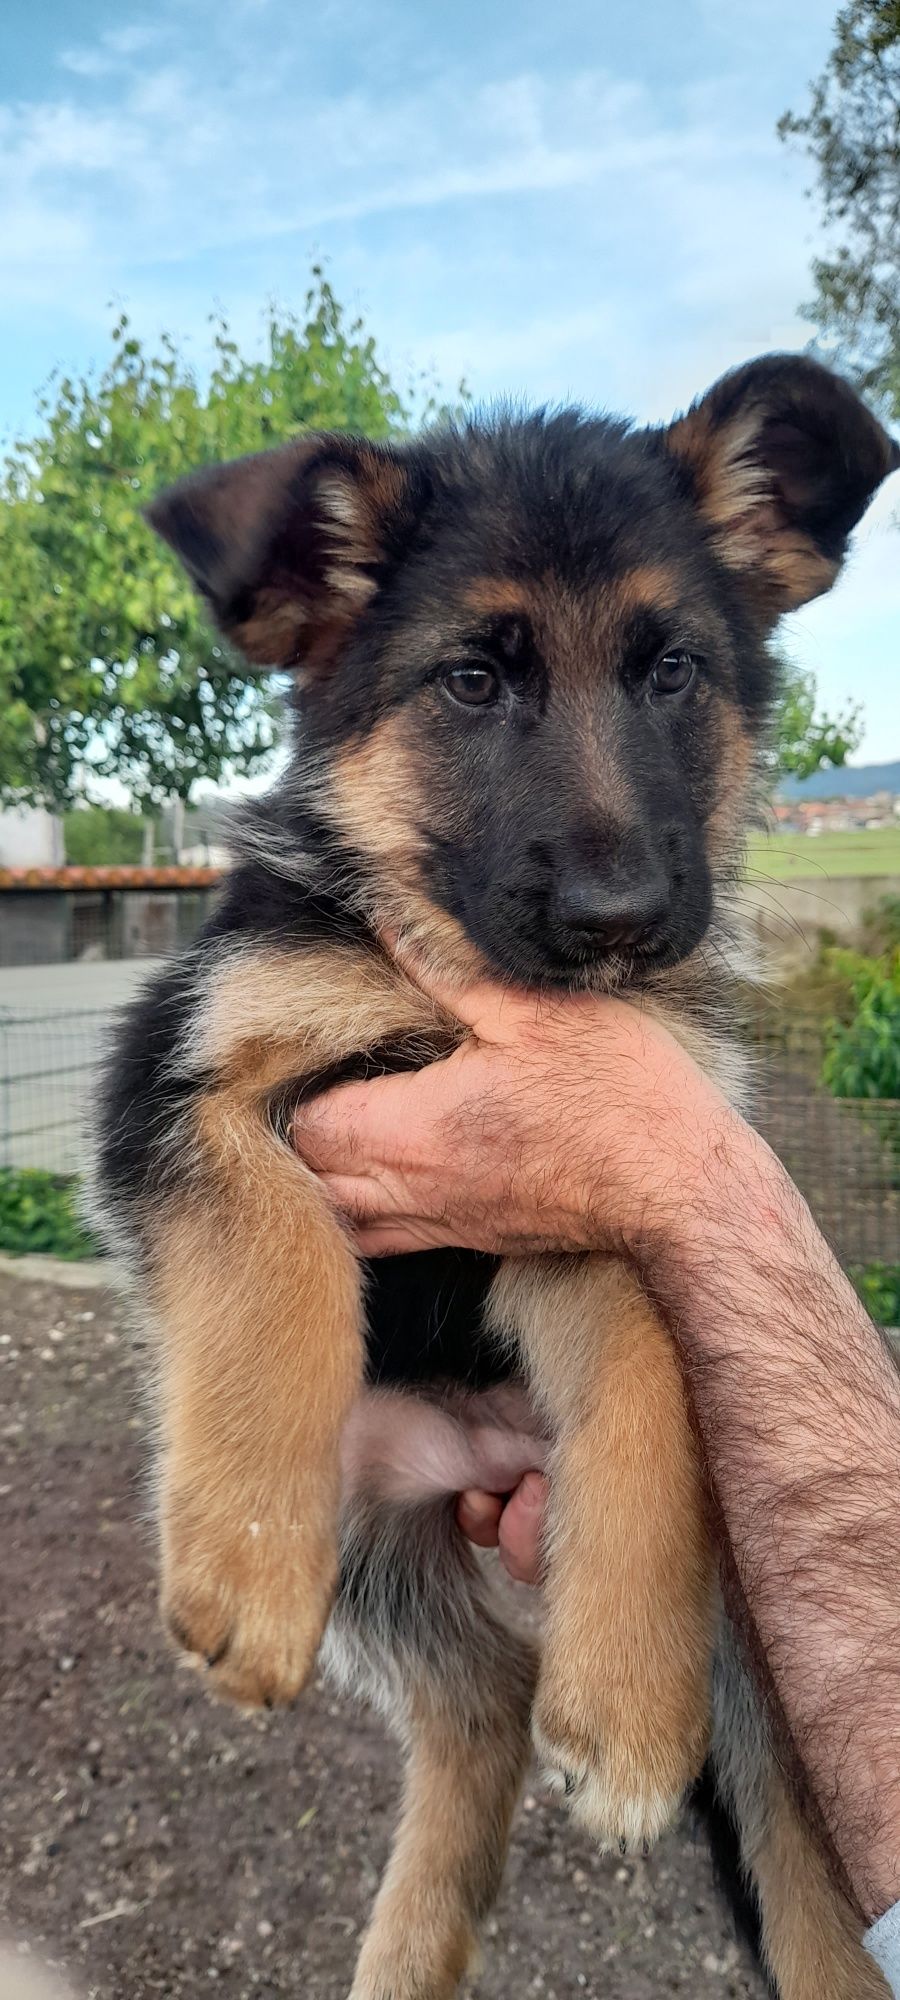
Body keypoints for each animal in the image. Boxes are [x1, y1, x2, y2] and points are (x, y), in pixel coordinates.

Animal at [95, 360, 896, 2000]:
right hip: (372, 1530)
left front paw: (632, 1711)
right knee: (479, 1698)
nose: (620, 917)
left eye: (675, 673)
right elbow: (279, 1239)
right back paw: (411, 1940)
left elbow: (652, 1363)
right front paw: (246, 1569)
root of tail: (463, 1450)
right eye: (470, 681)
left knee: (769, 1822)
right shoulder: (186, 1071)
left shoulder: (594, 1180)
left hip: (750, 1603)